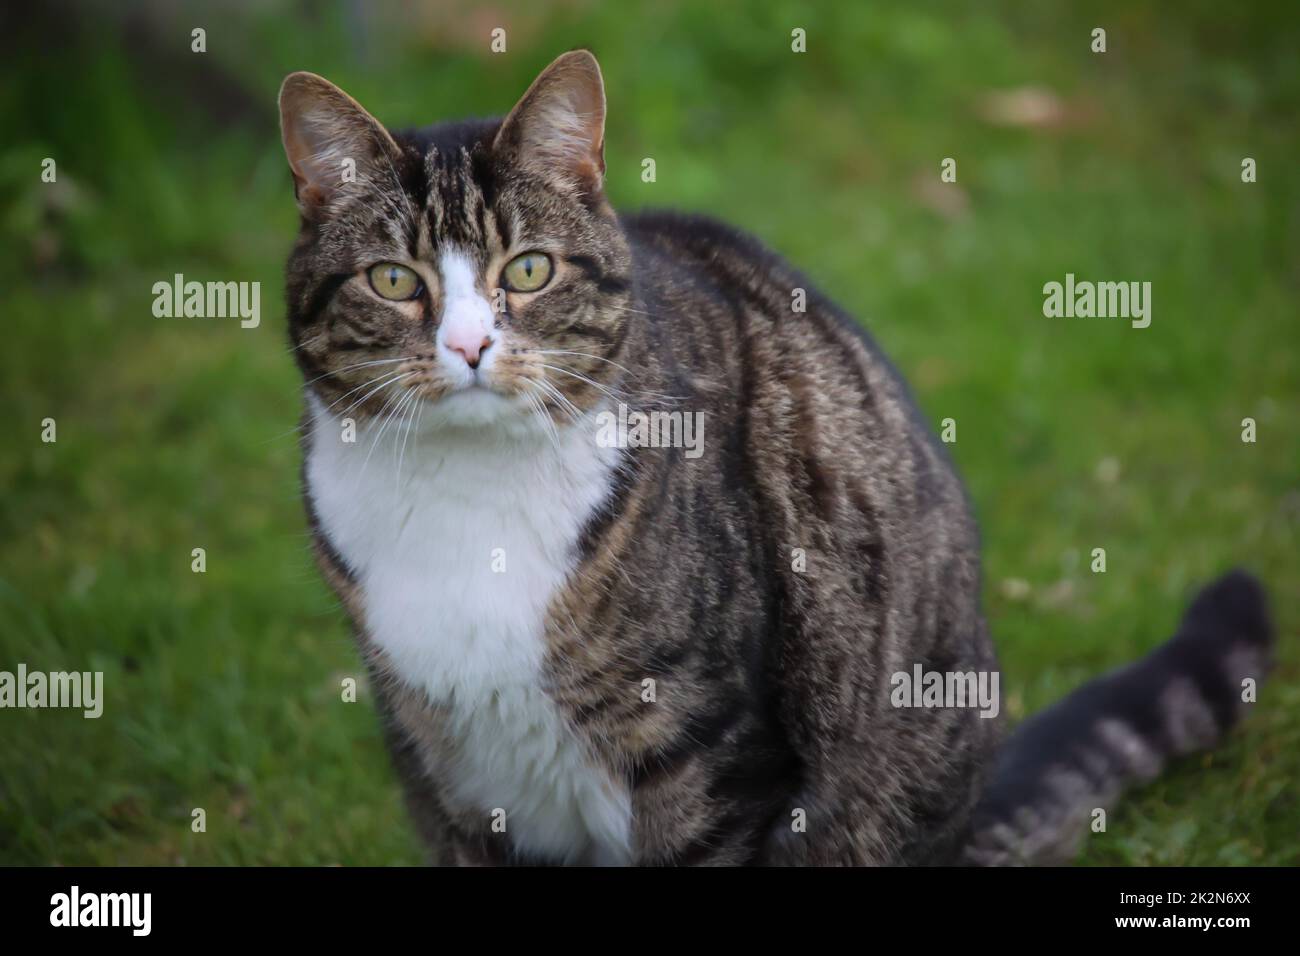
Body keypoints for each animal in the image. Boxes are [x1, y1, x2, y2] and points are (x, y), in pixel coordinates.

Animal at [279, 48, 1274, 863]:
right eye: (394, 280)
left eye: (527, 270)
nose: (470, 346)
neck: (469, 493)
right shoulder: (444, 778)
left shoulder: (712, 750)